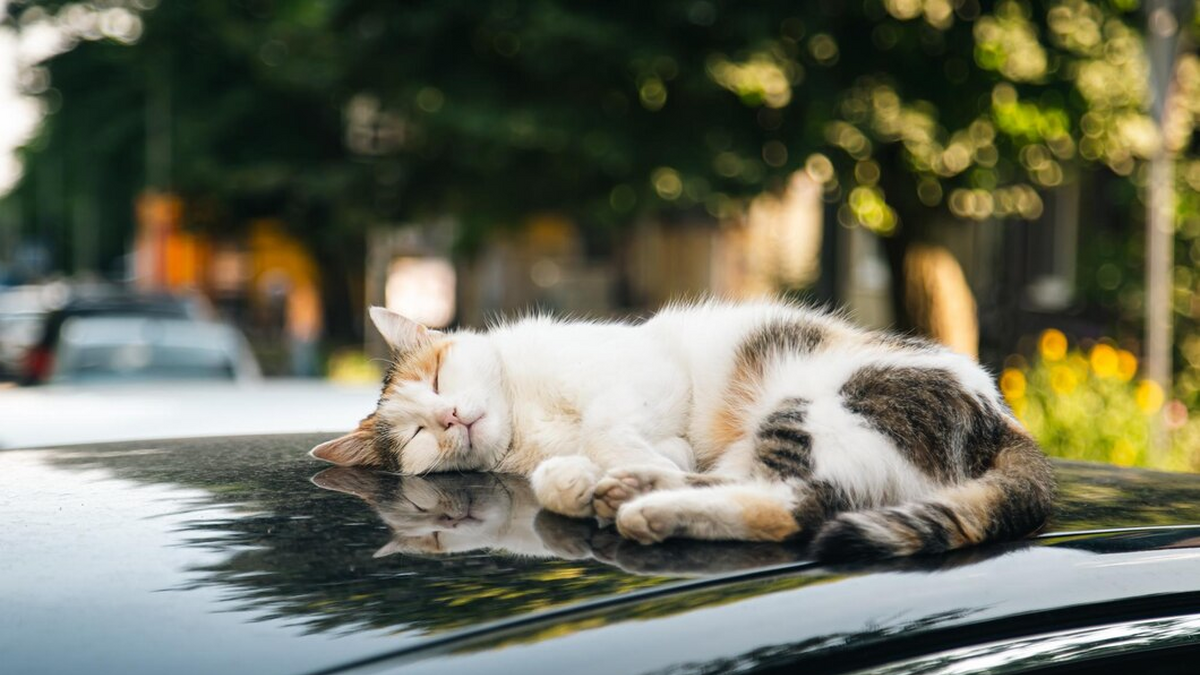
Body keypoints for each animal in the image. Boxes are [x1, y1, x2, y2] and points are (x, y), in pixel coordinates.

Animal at [314, 299, 1056, 557]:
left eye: (439, 379)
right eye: (417, 435)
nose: (448, 417)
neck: (527, 420)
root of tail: (1005, 419)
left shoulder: (649, 371)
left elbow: (610, 418)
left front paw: (621, 456)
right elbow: (642, 442)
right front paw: (615, 465)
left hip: (814, 407)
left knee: (793, 505)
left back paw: (640, 502)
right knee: (762, 492)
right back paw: (609, 490)